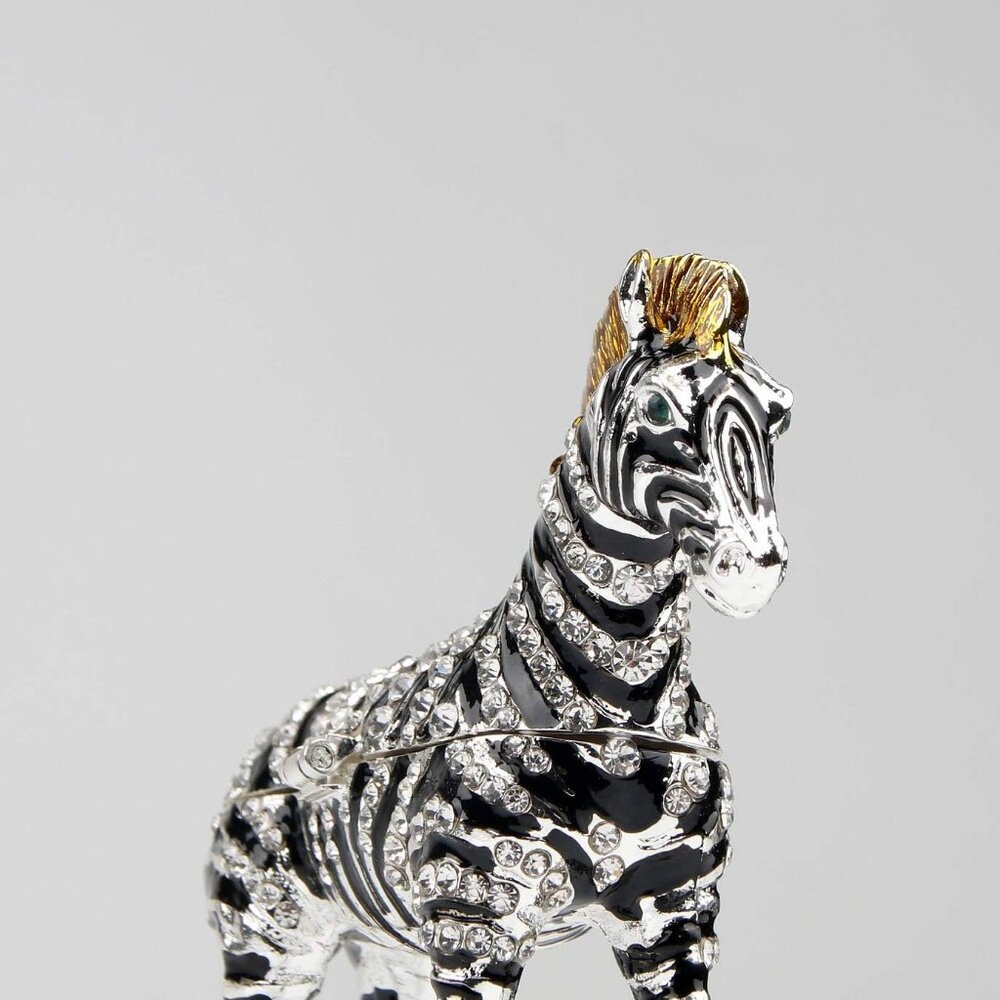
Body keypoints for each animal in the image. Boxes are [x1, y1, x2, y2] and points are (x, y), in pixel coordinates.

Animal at [207, 249, 793, 1000]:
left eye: (780, 411)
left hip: (388, 952)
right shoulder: (474, 926)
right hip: (271, 947)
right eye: (659, 407)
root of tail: (269, 749)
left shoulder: (673, 924)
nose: (752, 568)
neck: (613, 712)